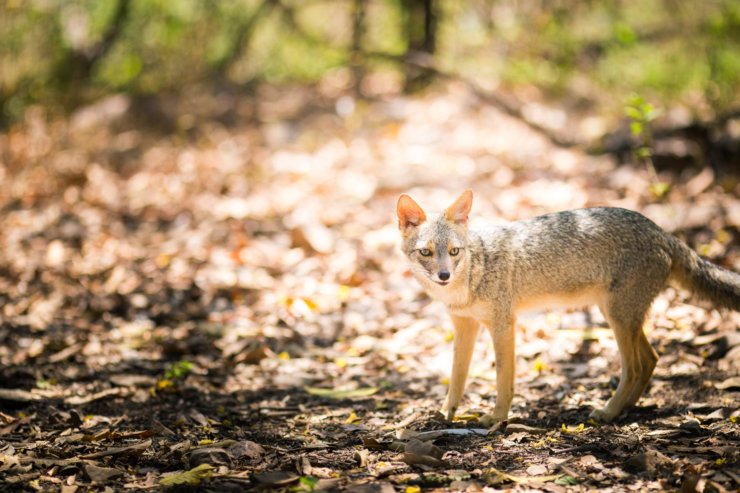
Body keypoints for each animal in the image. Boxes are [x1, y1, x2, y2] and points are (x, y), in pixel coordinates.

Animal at [396, 188, 740, 422]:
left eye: (454, 252)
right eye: (426, 253)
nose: (443, 275)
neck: (469, 278)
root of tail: (661, 232)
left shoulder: (503, 325)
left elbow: (504, 380)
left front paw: (497, 419)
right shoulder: (465, 326)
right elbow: (456, 378)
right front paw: (446, 413)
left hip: (618, 319)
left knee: (634, 367)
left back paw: (608, 412)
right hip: (619, 317)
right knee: (651, 359)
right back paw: (626, 409)